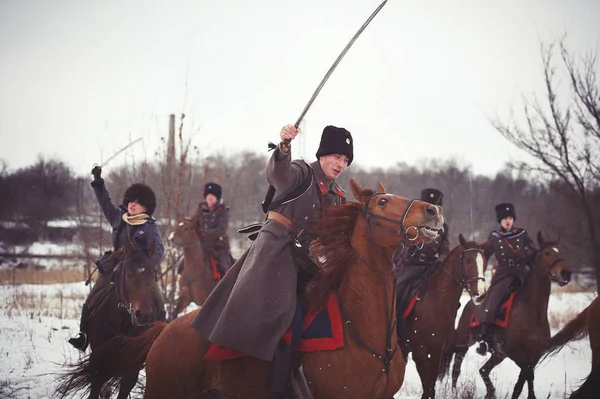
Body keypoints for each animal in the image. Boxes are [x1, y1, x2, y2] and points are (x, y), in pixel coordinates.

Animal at [54, 242, 159, 399]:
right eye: (128, 274)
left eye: (153, 275)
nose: (143, 316)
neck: (121, 322)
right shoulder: (100, 360)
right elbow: (96, 387)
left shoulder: (132, 365)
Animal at [398, 234, 488, 399]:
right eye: (468, 260)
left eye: (484, 262)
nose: (480, 294)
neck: (437, 303)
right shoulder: (421, 353)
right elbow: (428, 388)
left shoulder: (437, 353)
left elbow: (430, 389)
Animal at [450, 231, 572, 399]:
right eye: (547, 253)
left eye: (560, 252)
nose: (566, 273)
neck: (533, 313)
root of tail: (472, 301)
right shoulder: (515, 354)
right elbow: (526, 376)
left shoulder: (533, 355)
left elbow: (524, 381)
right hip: (464, 343)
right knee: (456, 369)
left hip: (498, 354)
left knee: (483, 370)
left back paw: (490, 392)